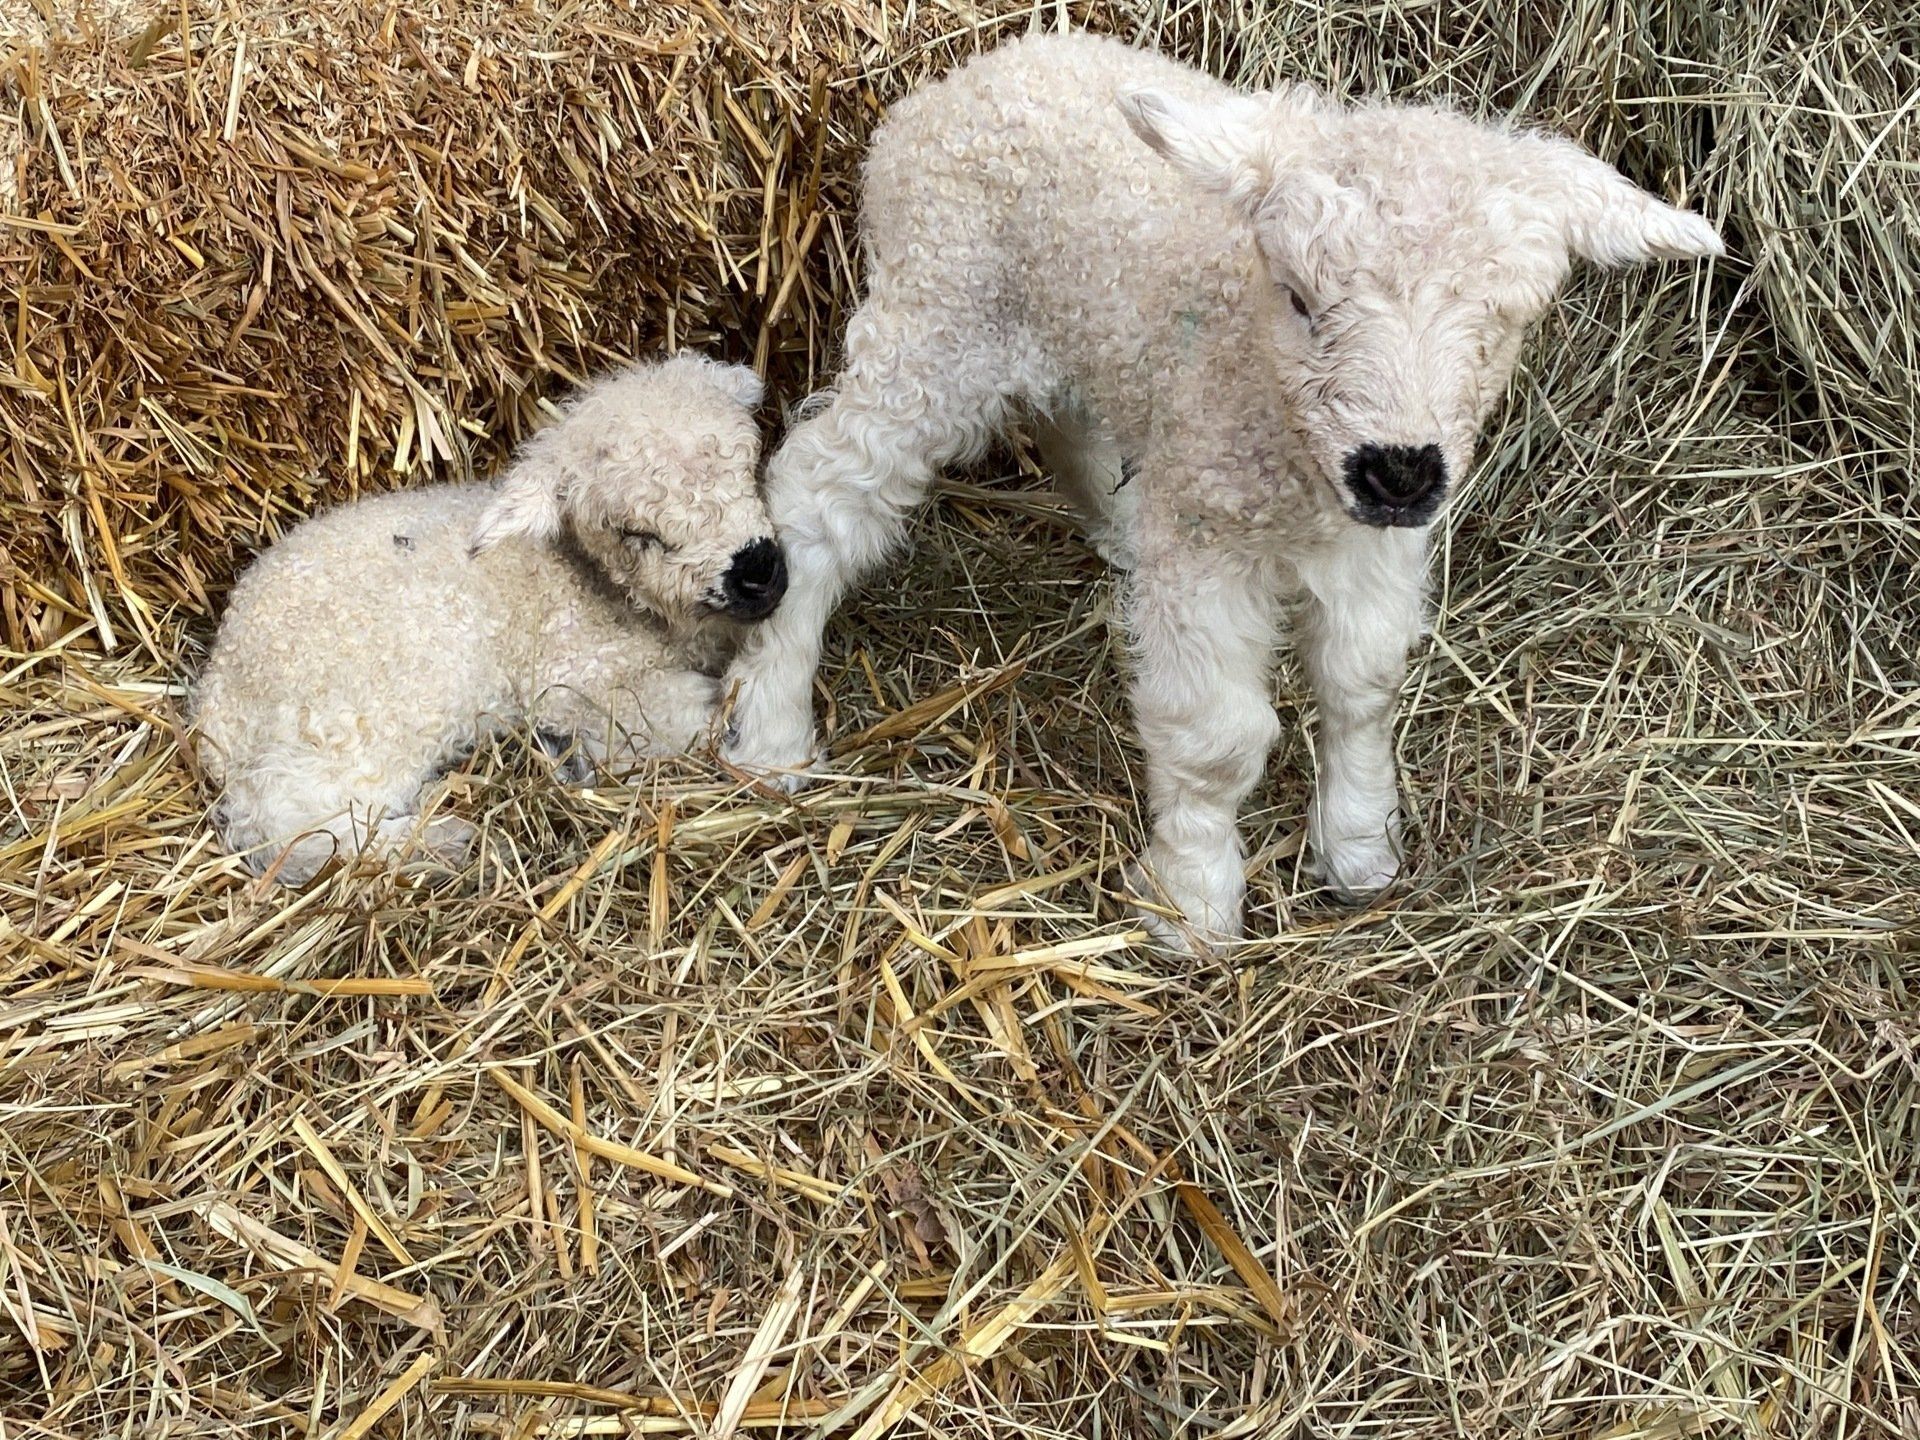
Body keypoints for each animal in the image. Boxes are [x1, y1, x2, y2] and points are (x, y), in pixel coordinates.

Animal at [192, 353, 787, 884]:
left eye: (745, 465)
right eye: (634, 533)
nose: (758, 572)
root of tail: (217, 704)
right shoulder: (575, 679)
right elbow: (679, 717)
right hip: (367, 715)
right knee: (289, 827)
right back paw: (444, 843)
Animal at [718, 31, 1722, 951]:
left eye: (1501, 322)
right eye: (1300, 299)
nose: (1398, 469)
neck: (1290, 452)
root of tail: (973, 71)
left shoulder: (1374, 546)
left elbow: (1363, 685)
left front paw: (1360, 849)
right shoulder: (1210, 545)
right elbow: (1216, 741)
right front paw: (1194, 904)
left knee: (1068, 420)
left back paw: (1118, 529)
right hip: (939, 318)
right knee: (821, 493)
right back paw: (769, 732)